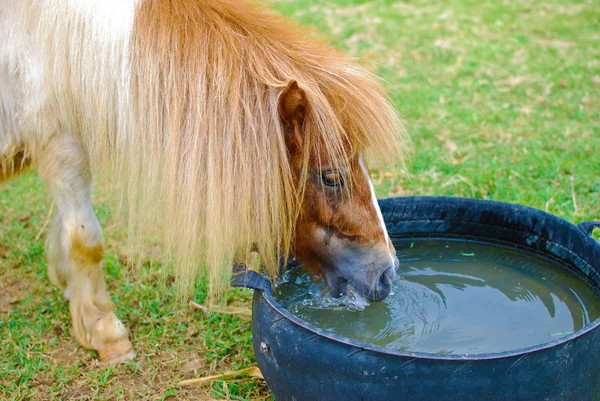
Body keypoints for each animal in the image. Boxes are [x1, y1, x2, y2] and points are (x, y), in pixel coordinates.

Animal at [0, 0, 408, 362]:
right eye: (331, 176)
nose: (387, 272)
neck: (57, 43)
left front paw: (73, 293)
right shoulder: (60, 147)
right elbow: (85, 241)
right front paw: (105, 332)